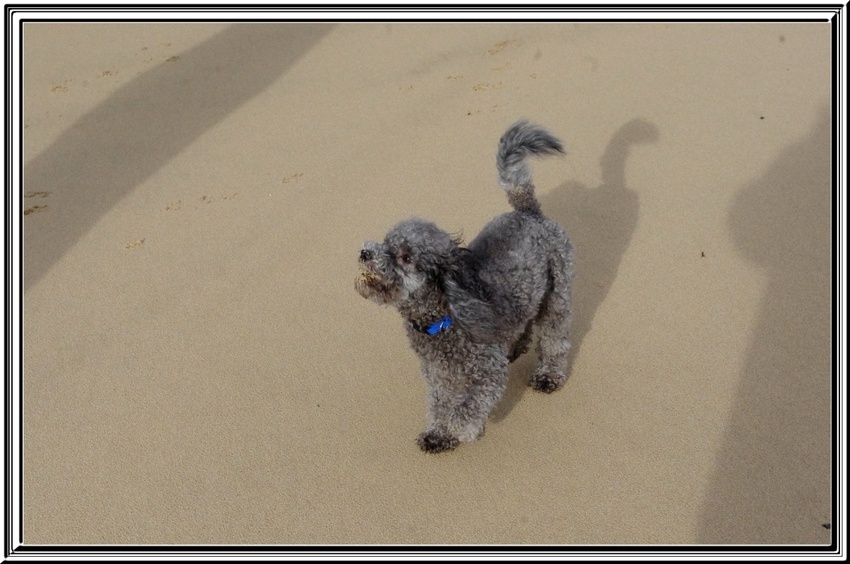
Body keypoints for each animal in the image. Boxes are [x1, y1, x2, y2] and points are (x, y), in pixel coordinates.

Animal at [354, 120, 572, 454]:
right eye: (384, 242)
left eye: (405, 256)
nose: (365, 253)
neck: (444, 318)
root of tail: (528, 211)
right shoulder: (438, 375)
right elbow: (440, 404)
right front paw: (438, 433)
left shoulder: (488, 373)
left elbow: (468, 407)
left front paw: (461, 428)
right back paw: (516, 345)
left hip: (557, 293)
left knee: (554, 337)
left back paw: (549, 374)